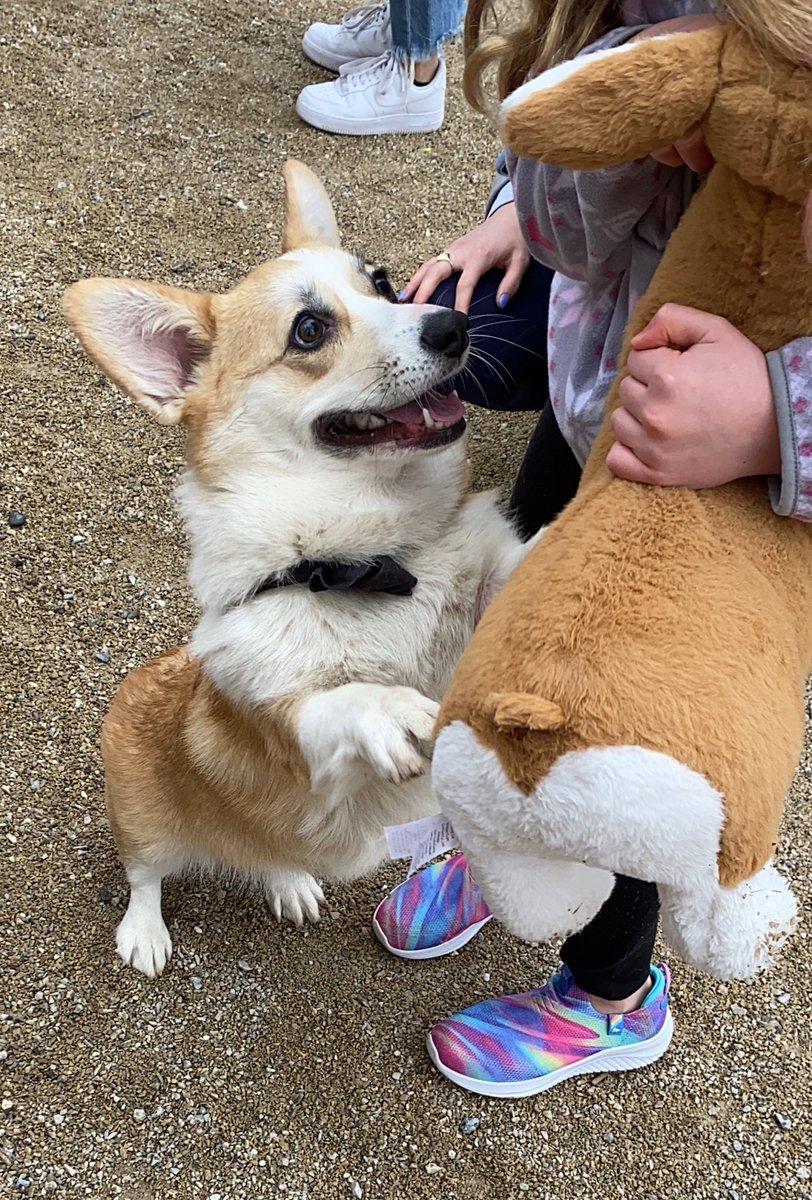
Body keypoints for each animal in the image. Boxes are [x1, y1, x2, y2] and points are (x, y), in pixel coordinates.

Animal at [66, 159, 527, 979]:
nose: (453, 326)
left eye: (382, 282)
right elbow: (332, 705)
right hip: (141, 813)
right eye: (309, 329)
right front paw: (389, 710)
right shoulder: (288, 735)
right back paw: (145, 932)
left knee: (272, 856)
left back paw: (289, 881)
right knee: (145, 872)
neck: (364, 559)